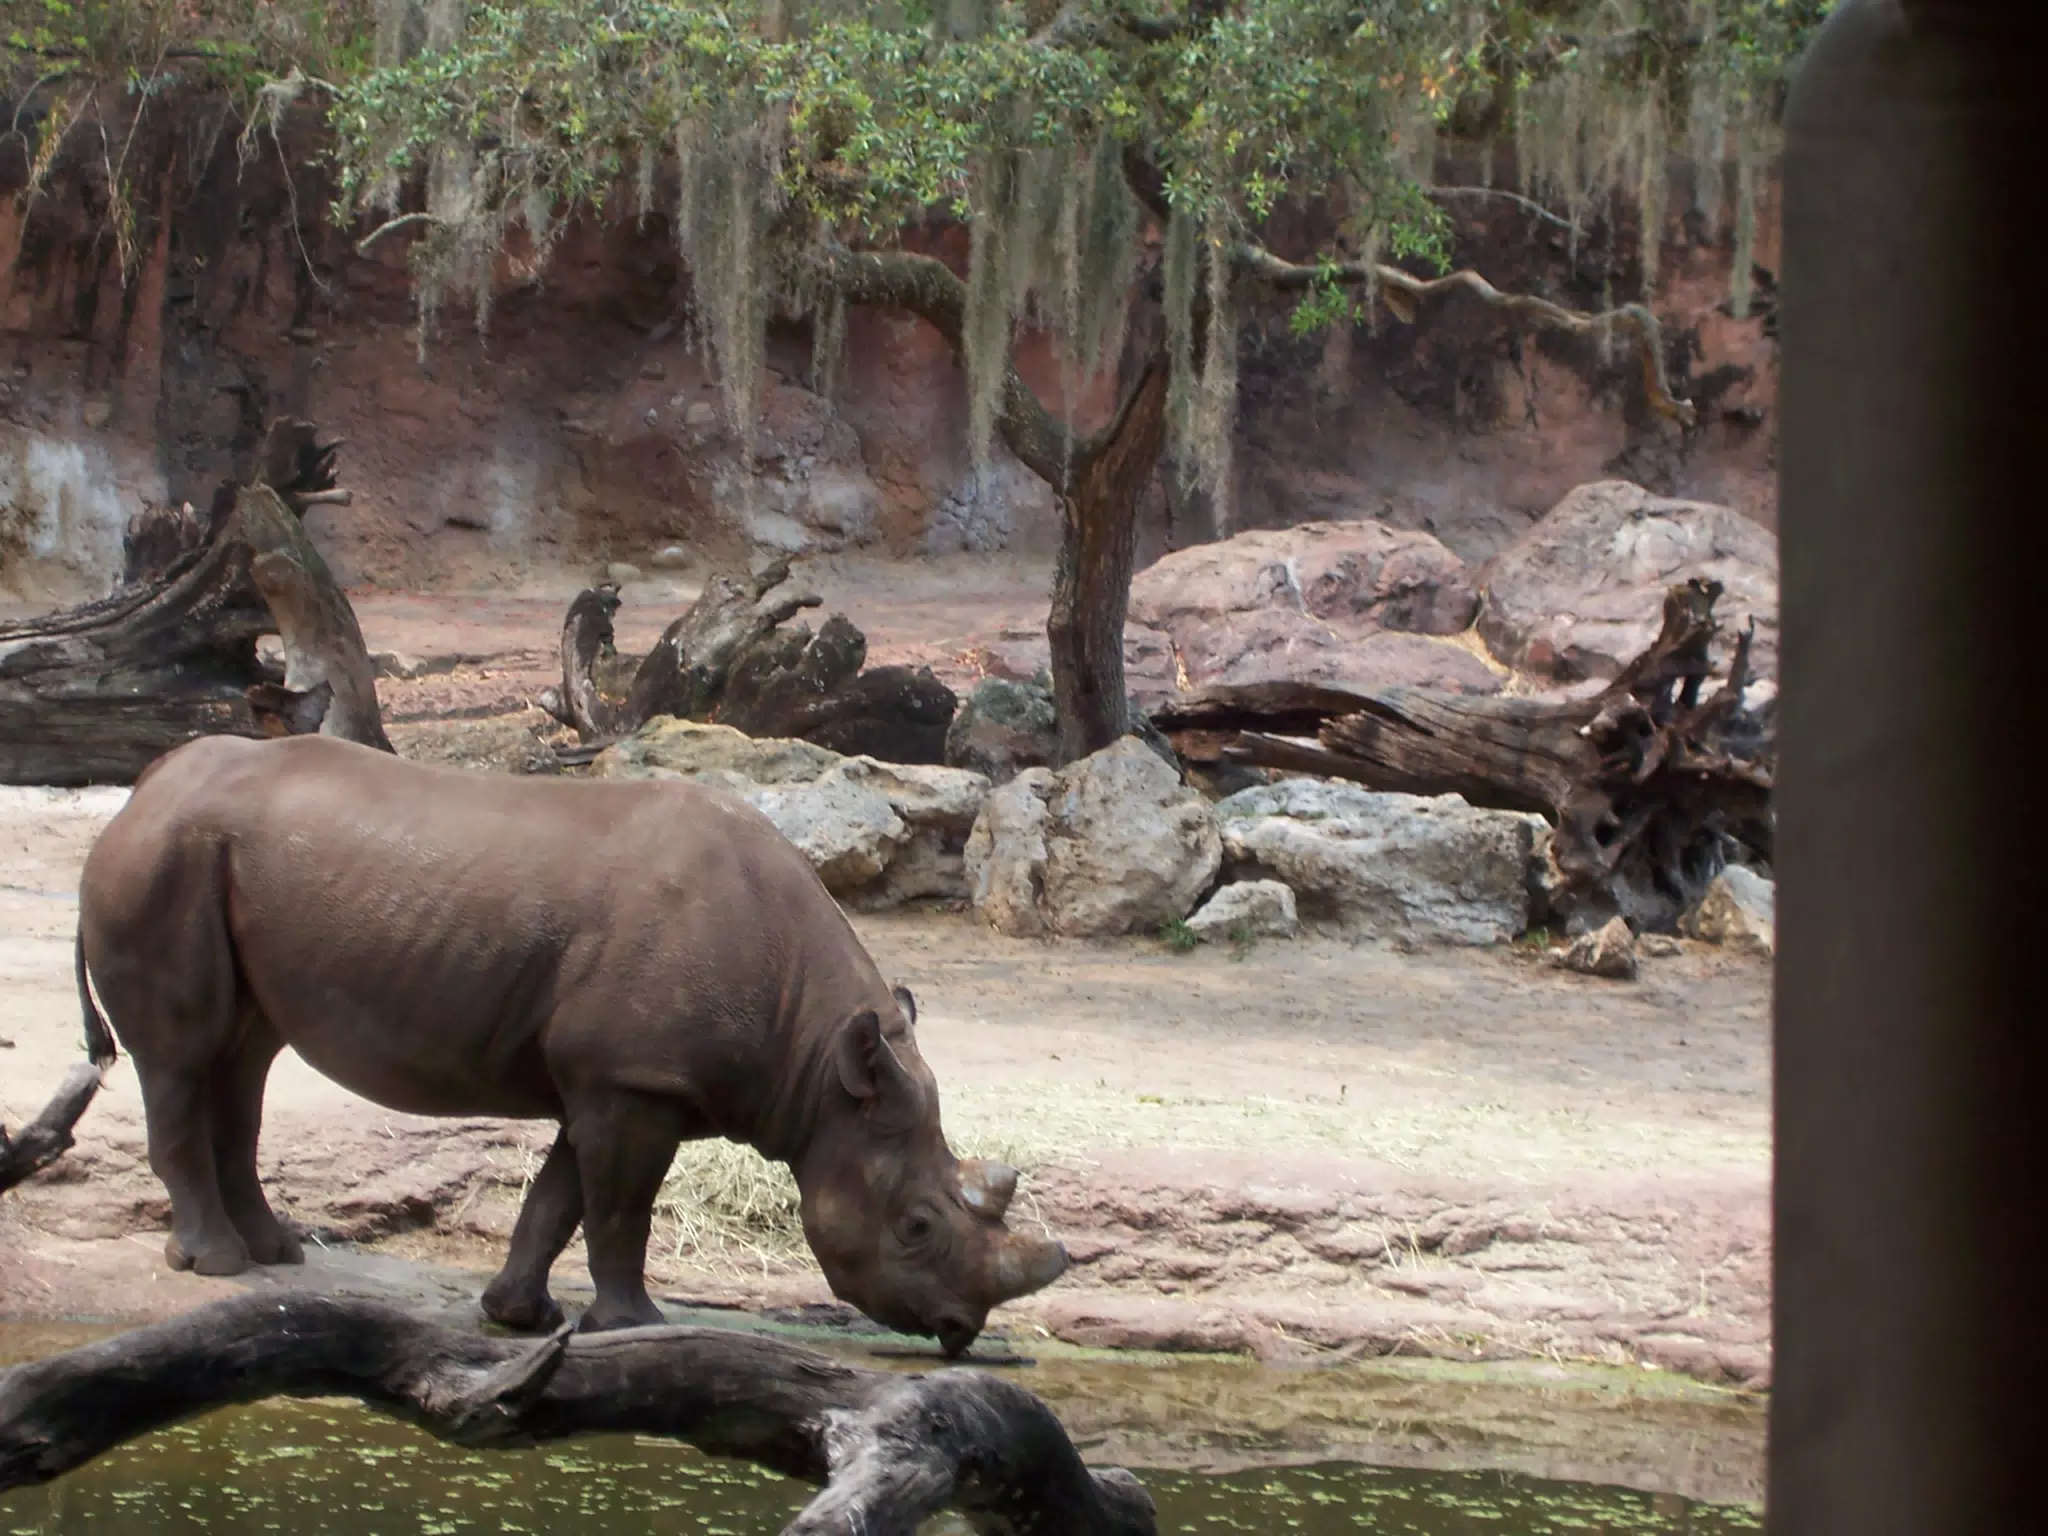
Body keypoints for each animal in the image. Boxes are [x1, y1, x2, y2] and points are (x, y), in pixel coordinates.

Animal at [75, 733, 1067, 1353]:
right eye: (917, 1226)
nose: (960, 1332)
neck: (820, 1063)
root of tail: (140, 792)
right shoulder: (638, 1081)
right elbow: (621, 1210)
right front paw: (637, 1327)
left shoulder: (613, 1077)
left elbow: (559, 1197)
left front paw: (518, 1314)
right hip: (165, 860)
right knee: (185, 1055)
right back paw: (218, 1265)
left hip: (206, 856)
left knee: (244, 1054)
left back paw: (273, 1254)